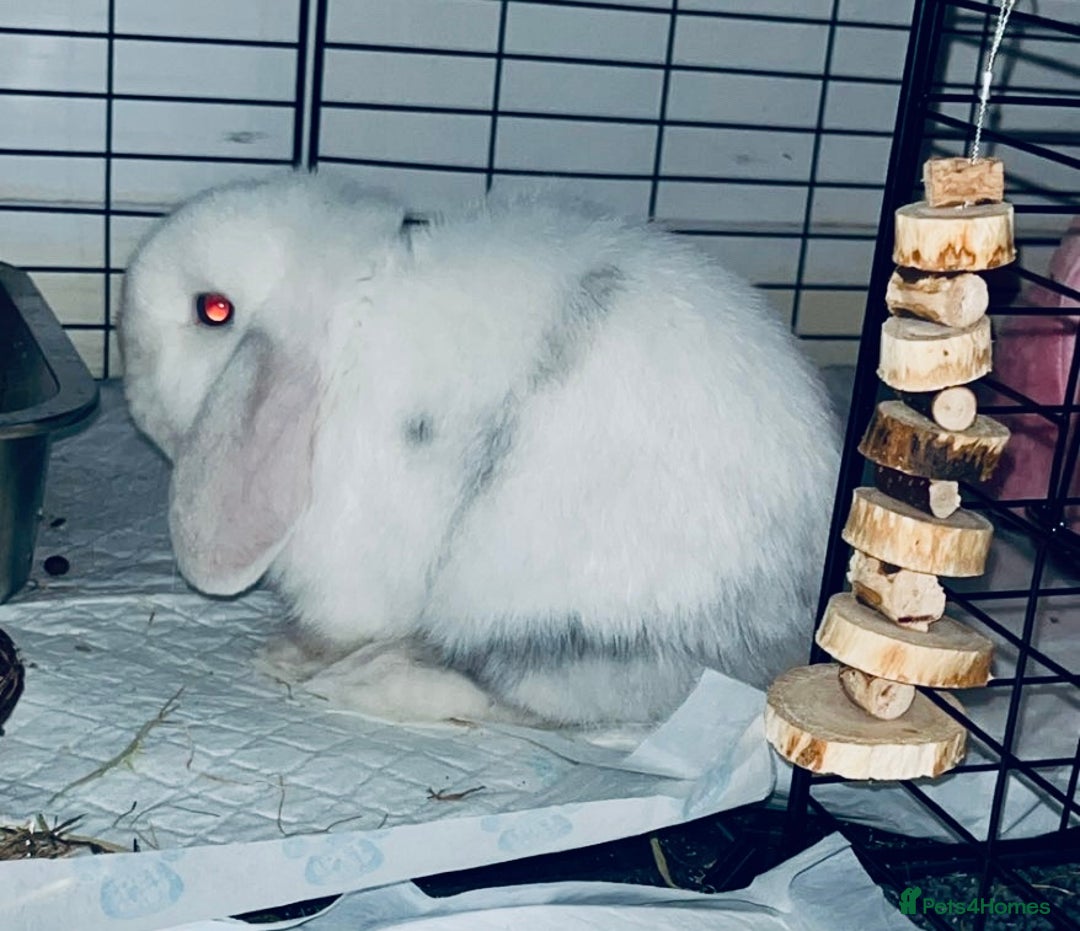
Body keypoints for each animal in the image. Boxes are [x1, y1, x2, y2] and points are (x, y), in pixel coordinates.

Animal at [119, 171, 841, 727]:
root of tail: (786, 623)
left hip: (551, 610)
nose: (130, 381)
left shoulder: (351, 566)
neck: (341, 339)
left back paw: (372, 680)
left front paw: (290, 654)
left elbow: (341, 622)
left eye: (213, 310)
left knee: (560, 700)